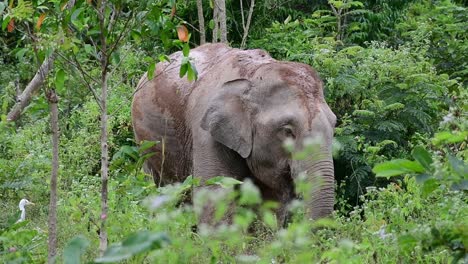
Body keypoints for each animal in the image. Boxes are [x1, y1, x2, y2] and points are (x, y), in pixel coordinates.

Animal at [132, 43, 336, 227]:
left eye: (334, 125)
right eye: (287, 130)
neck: (254, 74)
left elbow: (270, 202)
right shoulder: (205, 134)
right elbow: (214, 194)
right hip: (144, 144)